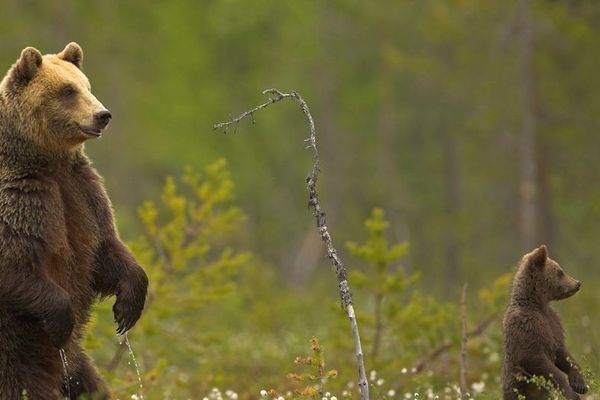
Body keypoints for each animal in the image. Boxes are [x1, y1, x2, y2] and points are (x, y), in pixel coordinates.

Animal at [0, 42, 149, 398]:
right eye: (67, 91)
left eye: (87, 86)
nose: (103, 115)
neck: (46, 161)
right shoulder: (22, 196)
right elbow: (15, 262)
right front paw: (60, 320)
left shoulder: (82, 192)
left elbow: (104, 249)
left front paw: (127, 308)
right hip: (12, 349)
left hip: (74, 363)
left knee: (90, 383)